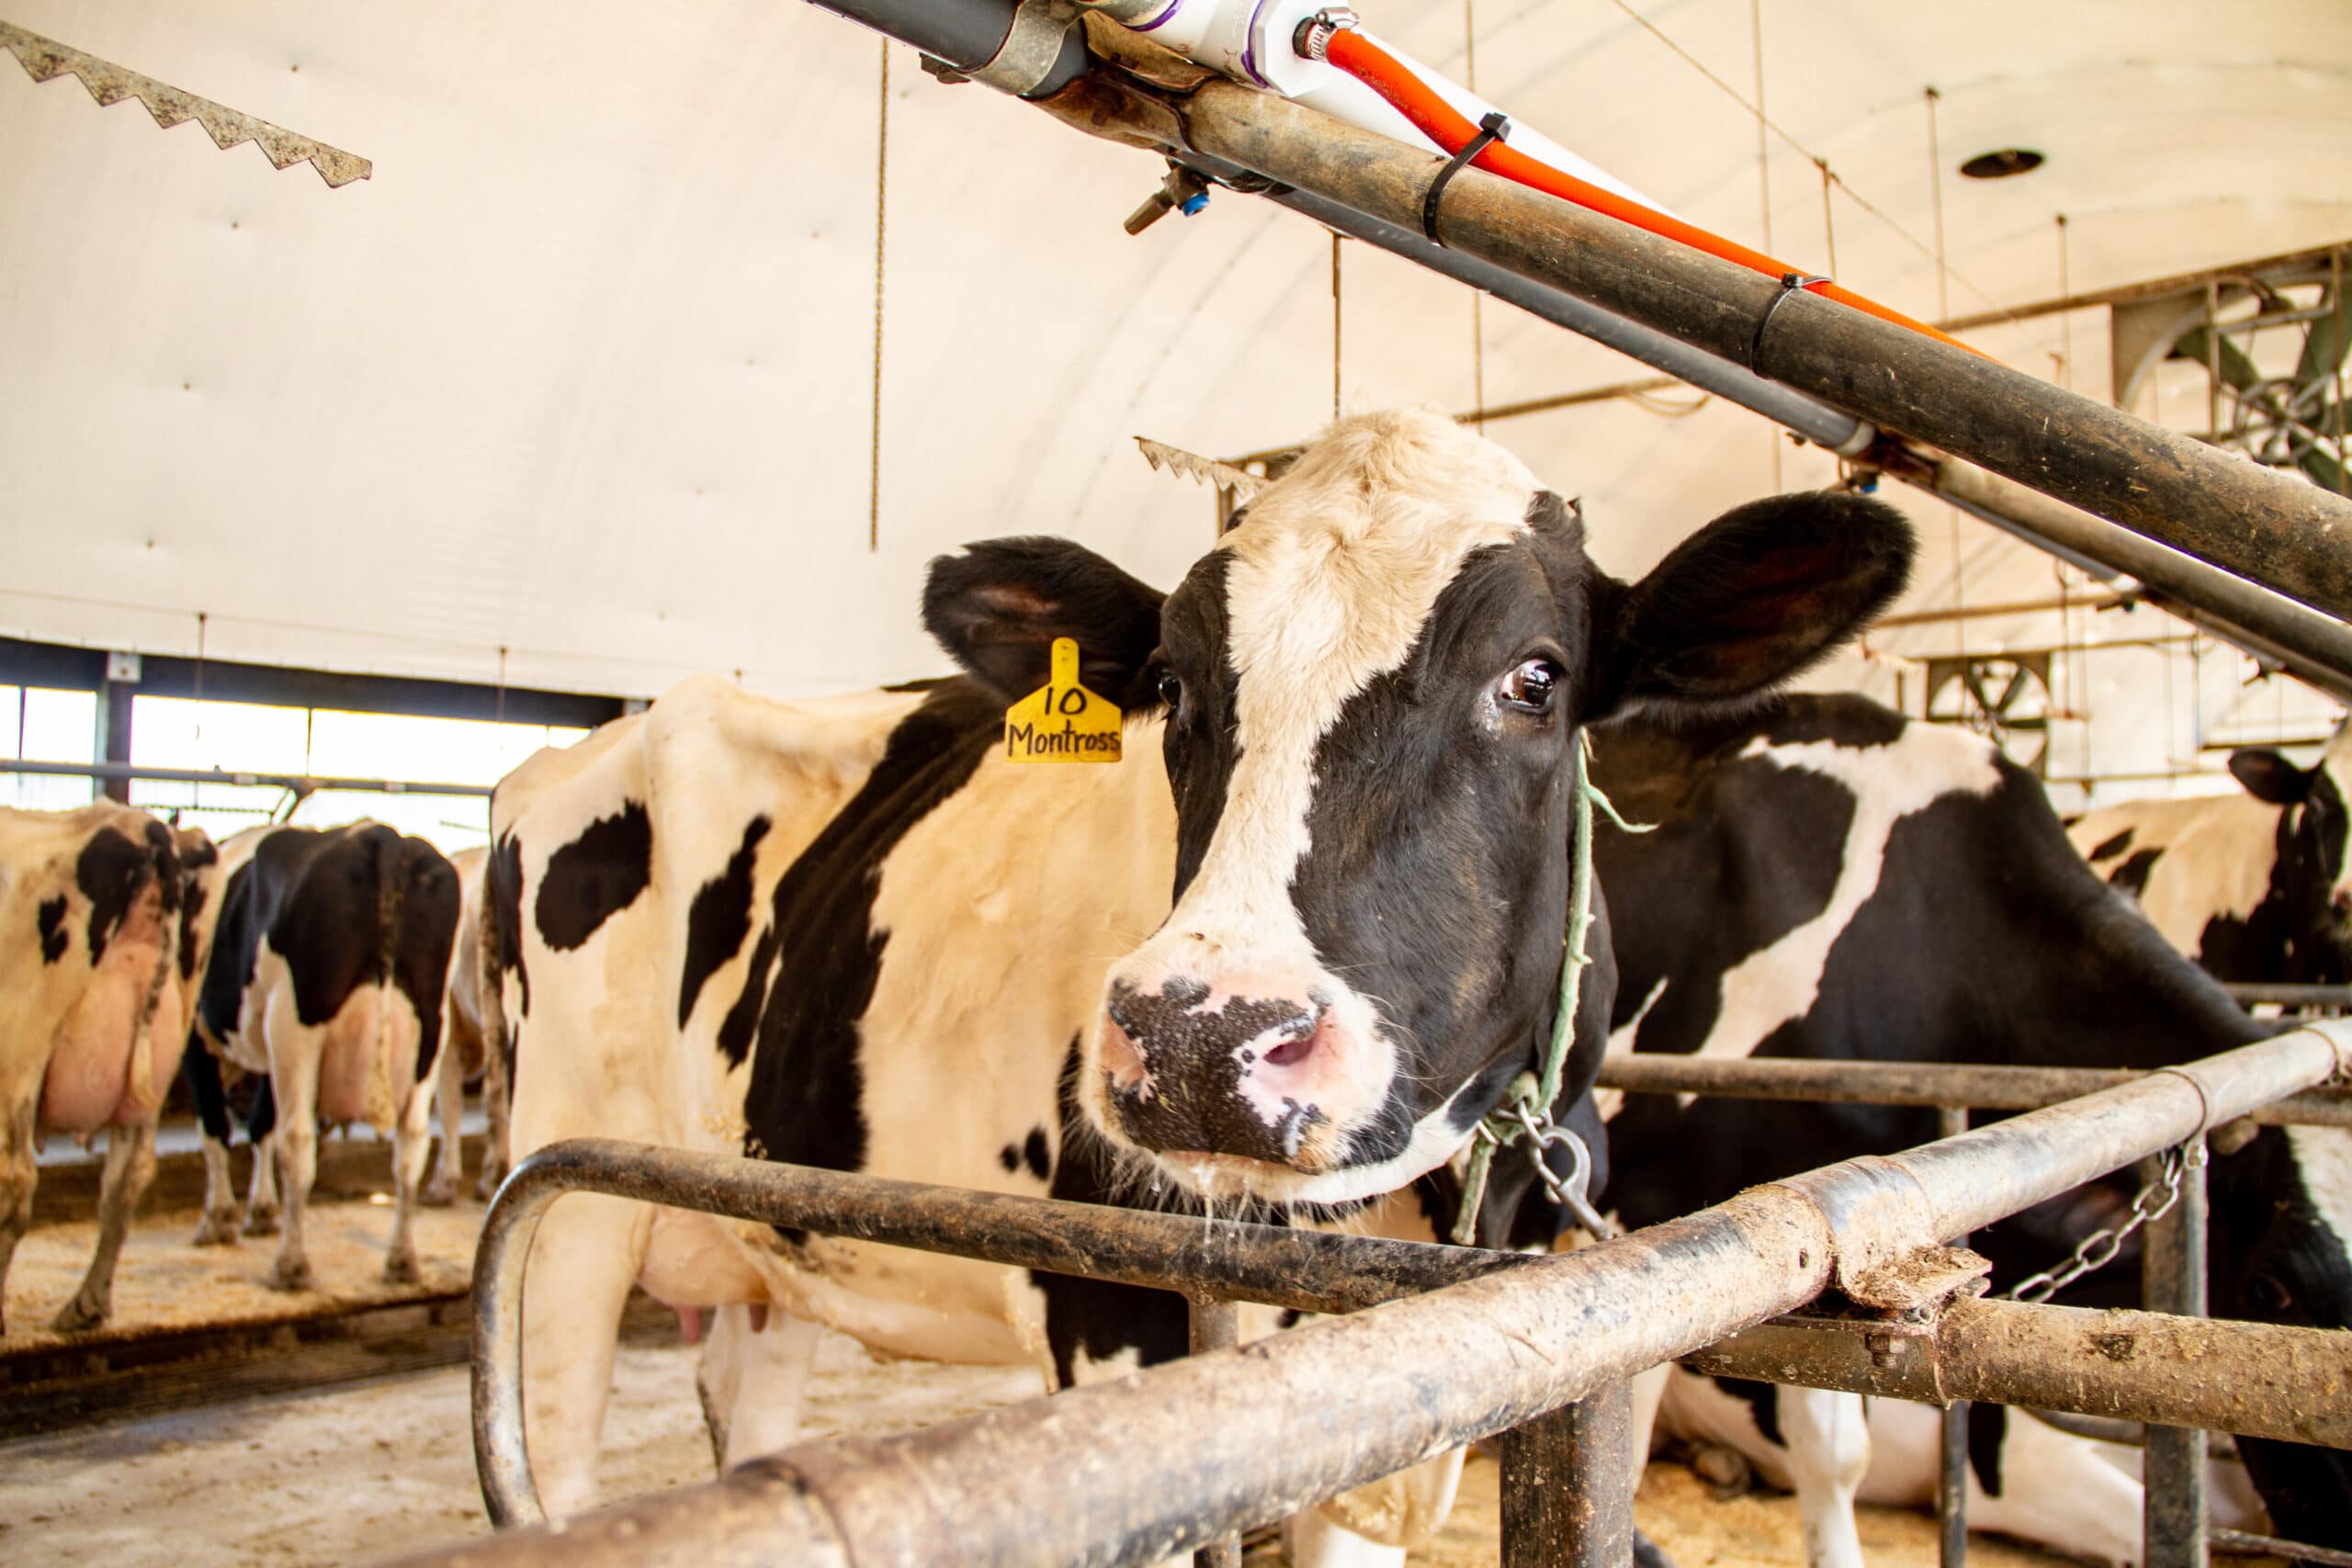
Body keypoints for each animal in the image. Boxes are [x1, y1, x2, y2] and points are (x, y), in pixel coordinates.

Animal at [0, 804, 191, 1335]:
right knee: (126, 1179)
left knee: (14, 1179)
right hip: (152, 1070)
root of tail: (140, 825)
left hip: (18, 1050)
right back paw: (87, 1303)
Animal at [181, 822, 460, 1288]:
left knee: (297, 1141)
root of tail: (383, 837)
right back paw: (402, 1261)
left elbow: (216, 1129)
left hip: (295, 1024)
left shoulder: (198, 1035)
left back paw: (291, 1265)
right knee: (412, 1144)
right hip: (431, 1029)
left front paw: (218, 1220)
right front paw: (260, 1212)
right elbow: (259, 1125)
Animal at [481, 404, 1909, 1561]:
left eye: (1536, 677)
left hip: (770, 1231)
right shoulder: (1117, 1328)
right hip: (565, 1197)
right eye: (1170, 684)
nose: (1199, 1041)